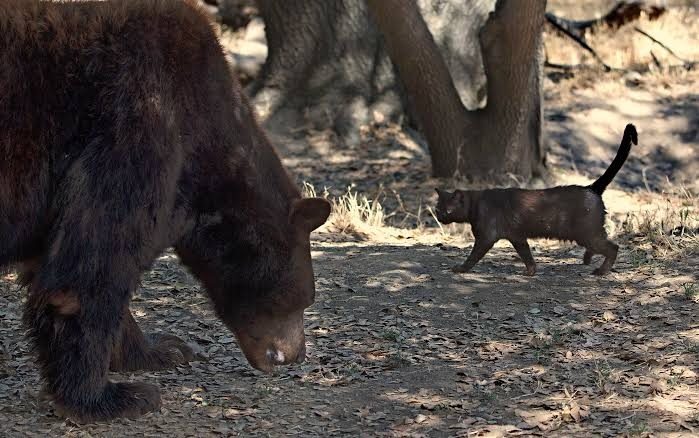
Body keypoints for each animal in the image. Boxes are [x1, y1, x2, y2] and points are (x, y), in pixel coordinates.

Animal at [0, 0, 331, 422]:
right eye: (304, 300)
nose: (295, 356)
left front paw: (161, 350)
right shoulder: (139, 118)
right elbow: (93, 264)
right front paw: (108, 397)